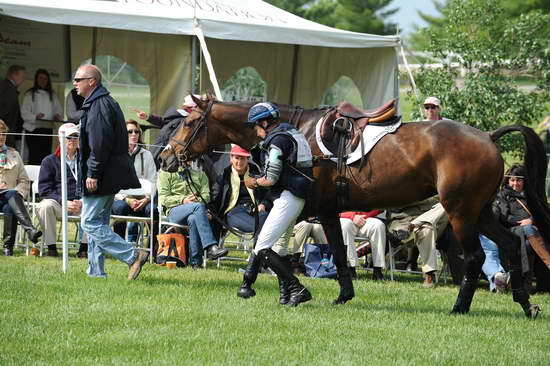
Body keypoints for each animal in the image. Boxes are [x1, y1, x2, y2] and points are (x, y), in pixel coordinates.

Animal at [161, 96, 550, 318]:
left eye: (189, 122)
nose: (165, 157)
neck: (297, 132)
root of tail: (487, 137)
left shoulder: (300, 206)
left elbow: (265, 247)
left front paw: (251, 285)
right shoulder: (328, 213)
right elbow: (329, 250)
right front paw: (341, 295)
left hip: (460, 214)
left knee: (475, 257)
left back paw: (460, 307)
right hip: (479, 212)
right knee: (510, 244)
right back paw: (525, 303)